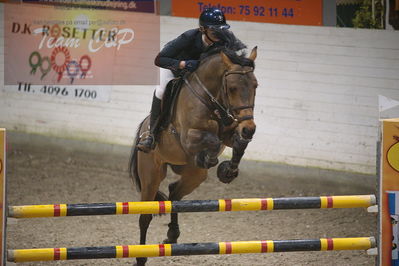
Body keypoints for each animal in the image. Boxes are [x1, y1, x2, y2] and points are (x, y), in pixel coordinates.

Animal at [130, 30, 258, 264]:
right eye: (232, 88)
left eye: (255, 86)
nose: (249, 129)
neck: (211, 96)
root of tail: (143, 128)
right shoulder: (188, 136)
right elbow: (212, 141)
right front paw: (211, 159)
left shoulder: (231, 130)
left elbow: (237, 142)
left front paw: (228, 171)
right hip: (151, 174)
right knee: (145, 216)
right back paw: (141, 257)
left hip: (194, 176)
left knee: (174, 193)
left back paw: (172, 235)